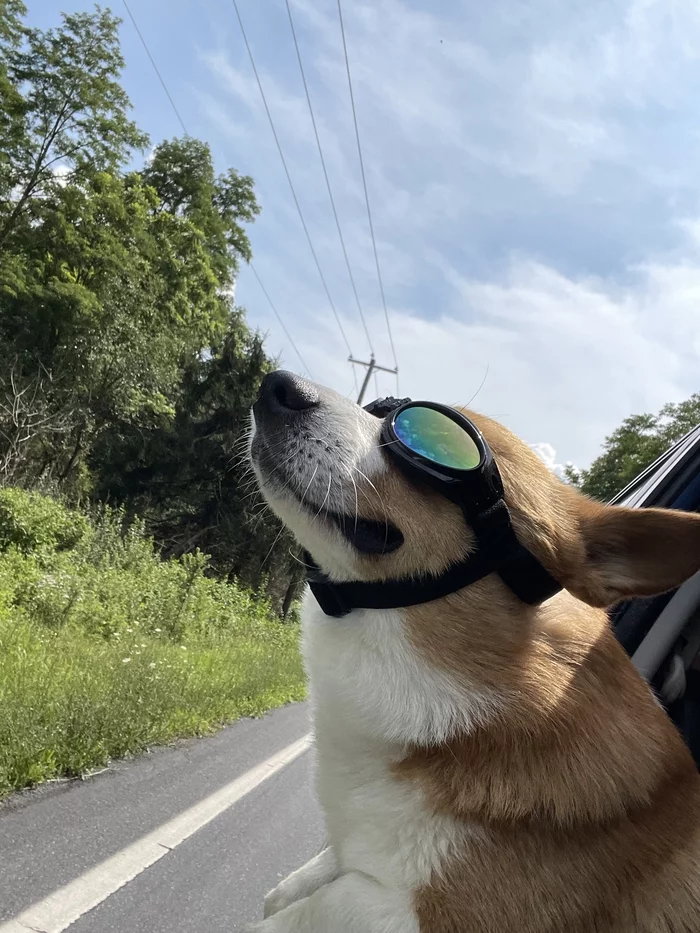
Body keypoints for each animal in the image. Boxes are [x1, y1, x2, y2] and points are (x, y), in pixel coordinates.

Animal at [247, 368, 700, 928]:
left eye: (437, 443)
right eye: (377, 409)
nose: (279, 386)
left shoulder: (413, 912)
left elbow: (314, 907)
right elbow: (307, 882)